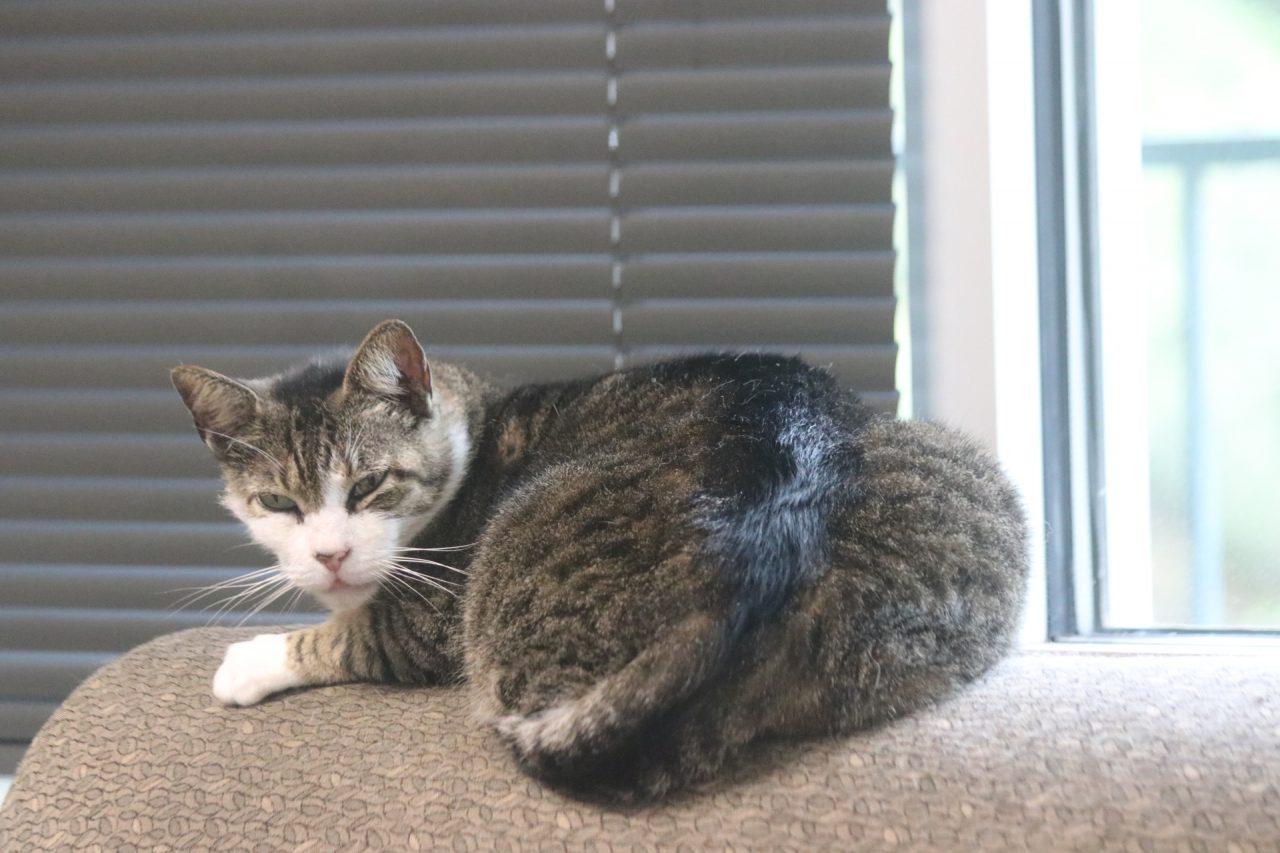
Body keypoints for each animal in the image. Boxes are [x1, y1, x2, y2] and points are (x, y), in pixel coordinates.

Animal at [170, 317, 1029, 799]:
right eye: (278, 503)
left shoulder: (429, 618)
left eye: (371, 485)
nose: (329, 553)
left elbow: (356, 634)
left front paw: (249, 660)